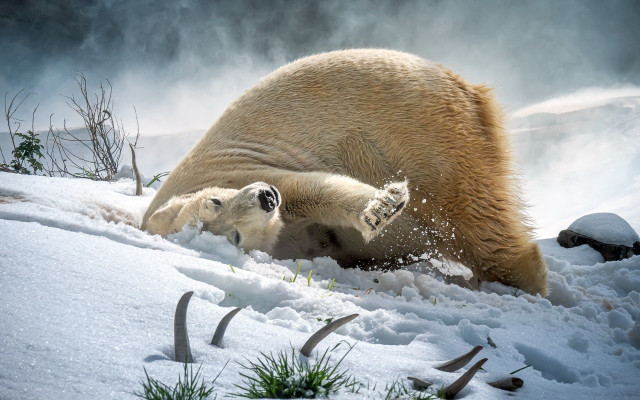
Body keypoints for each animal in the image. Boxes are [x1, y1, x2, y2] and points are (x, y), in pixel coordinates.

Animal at [142, 49, 548, 296]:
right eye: (235, 237)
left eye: (215, 202)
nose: (265, 198)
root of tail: (466, 87)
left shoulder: (239, 168)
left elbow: (314, 189)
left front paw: (382, 209)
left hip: (418, 131)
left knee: (470, 216)